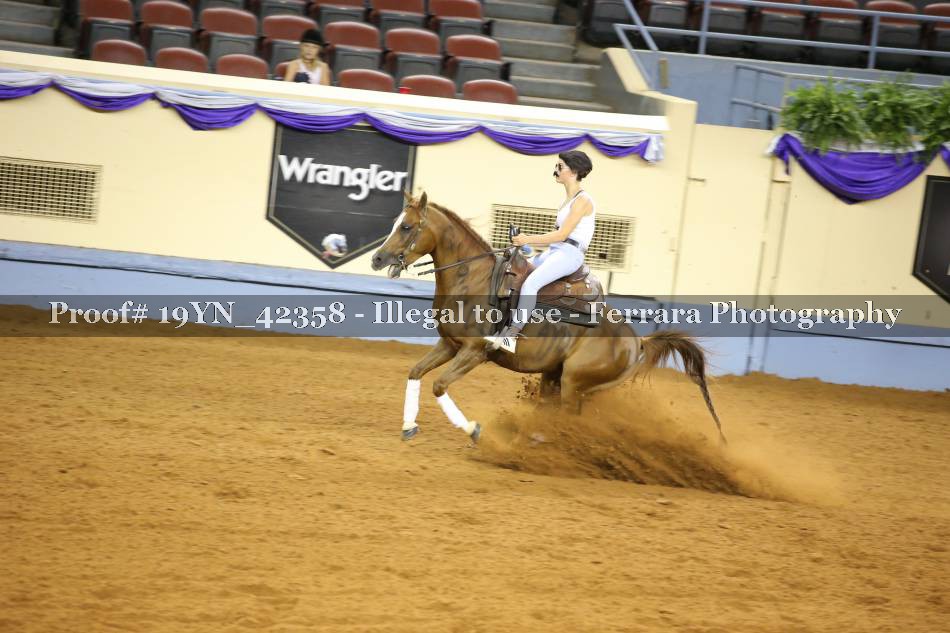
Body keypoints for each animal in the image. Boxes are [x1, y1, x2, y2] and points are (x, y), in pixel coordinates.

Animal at [370, 192, 725, 445]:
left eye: (406, 226)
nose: (377, 258)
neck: (473, 279)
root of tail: (636, 342)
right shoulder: (449, 344)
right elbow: (416, 372)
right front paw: (408, 425)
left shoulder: (474, 352)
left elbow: (439, 385)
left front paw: (472, 429)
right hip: (555, 378)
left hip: (573, 384)